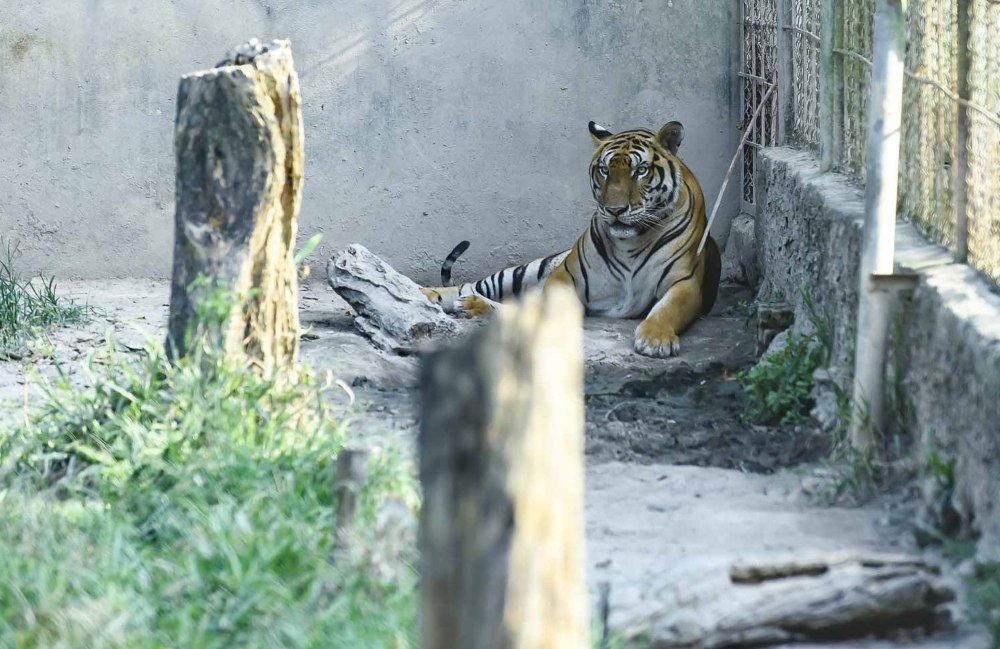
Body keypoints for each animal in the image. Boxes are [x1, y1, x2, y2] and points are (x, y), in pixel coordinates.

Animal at [420, 120, 721, 358]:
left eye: (641, 170)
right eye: (604, 170)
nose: (615, 210)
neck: (631, 243)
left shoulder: (685, 283)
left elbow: (667, 310)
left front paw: (655, 340)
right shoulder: (566, 276)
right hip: (528, 271)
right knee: (469, 286)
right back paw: (433, 296)